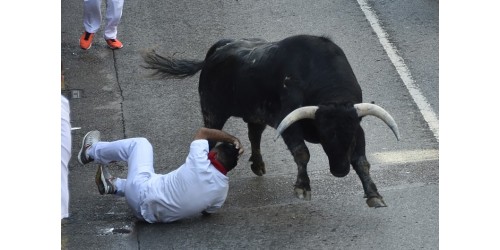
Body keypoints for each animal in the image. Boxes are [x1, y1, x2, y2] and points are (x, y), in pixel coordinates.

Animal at [141, 34, 398, 207]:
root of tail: (218, 48)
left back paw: (257, 164)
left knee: (254, 135)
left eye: (350, 137)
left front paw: (374, 195)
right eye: (324, 136)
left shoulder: (357, 126)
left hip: (255, 114)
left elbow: (362, 161)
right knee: (211, 136)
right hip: (212, 111)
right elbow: (302, 153)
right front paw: (302, 188)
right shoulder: (289, 122)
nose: (340, 171)